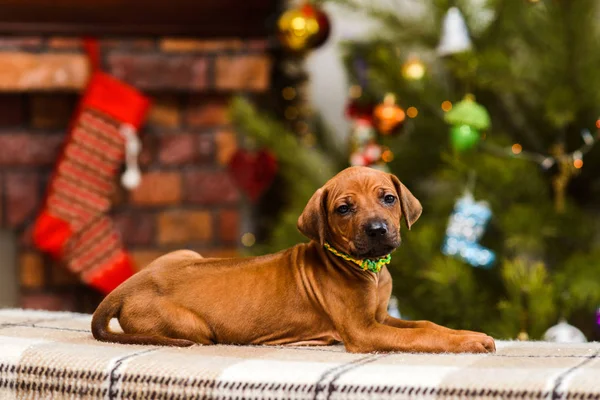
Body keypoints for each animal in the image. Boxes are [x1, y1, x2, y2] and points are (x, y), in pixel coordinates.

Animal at [92, 166, 496, 354]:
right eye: (344, 209)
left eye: (389, 198)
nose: (378, 230)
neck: (367, 269)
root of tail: (126, 287)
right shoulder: (365, 331)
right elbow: (422, 336)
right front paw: (469, 343)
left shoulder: (381, 318)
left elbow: (426, 324)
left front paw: (469, 334)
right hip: (195, 329)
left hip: (184, 254)